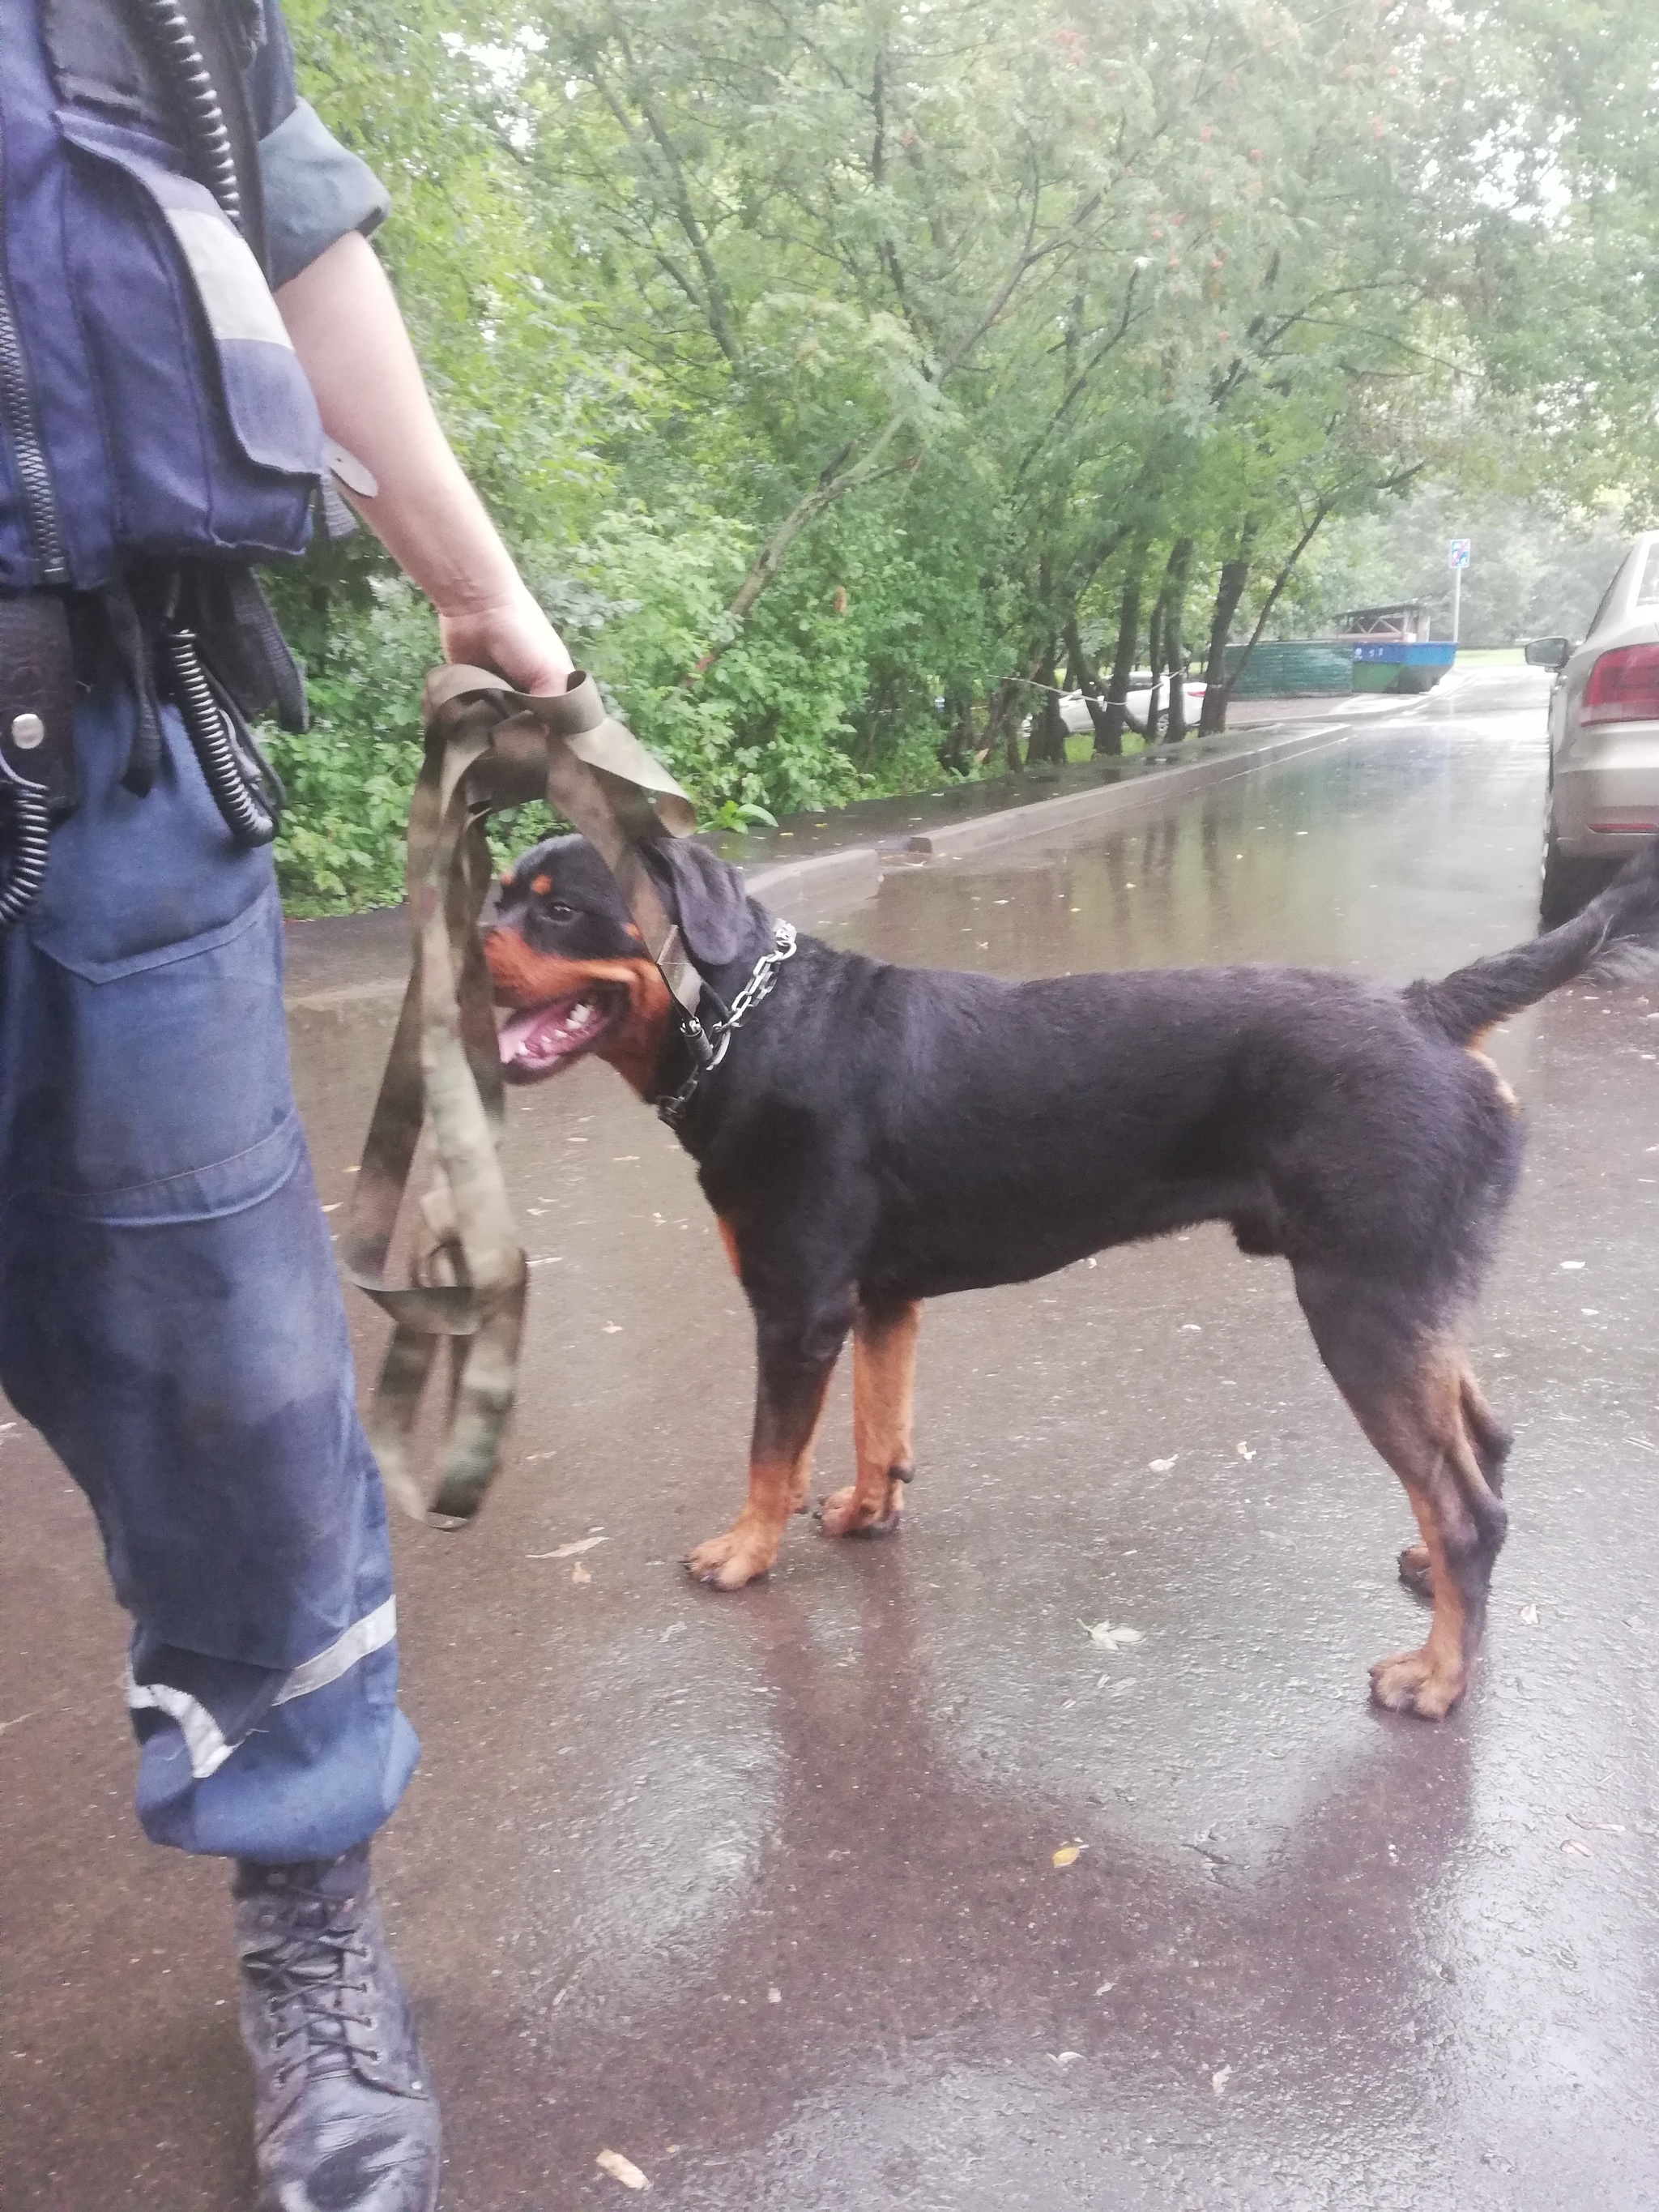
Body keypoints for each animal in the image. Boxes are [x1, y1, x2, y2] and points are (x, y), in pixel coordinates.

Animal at [480, 831, 1659, 1707]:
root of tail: (1429, 1007)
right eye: (497, 894)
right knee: (1483, 1449)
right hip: (1406, 1299)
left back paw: (1438, 1677)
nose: (461, 947)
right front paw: (866, 1510)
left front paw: (744, 1551)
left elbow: (772, 1452)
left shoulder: (798, 1308)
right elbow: (876, 1423)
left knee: (1465, 1508)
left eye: (556, 909)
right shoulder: (881, 1301)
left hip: (1360, 1308)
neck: (745, 1020)